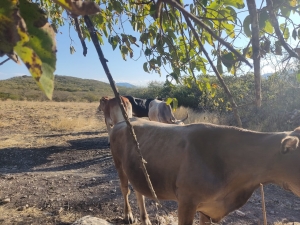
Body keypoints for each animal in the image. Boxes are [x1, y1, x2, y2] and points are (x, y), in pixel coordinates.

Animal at [109, 118, 300, 224]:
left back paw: (145, 219)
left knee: (138, 191)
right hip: (118, 164)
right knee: (125, 190)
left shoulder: (207, 206)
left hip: (136, 169)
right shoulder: (187, 201)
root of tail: (123, 121)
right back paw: (129, 216)